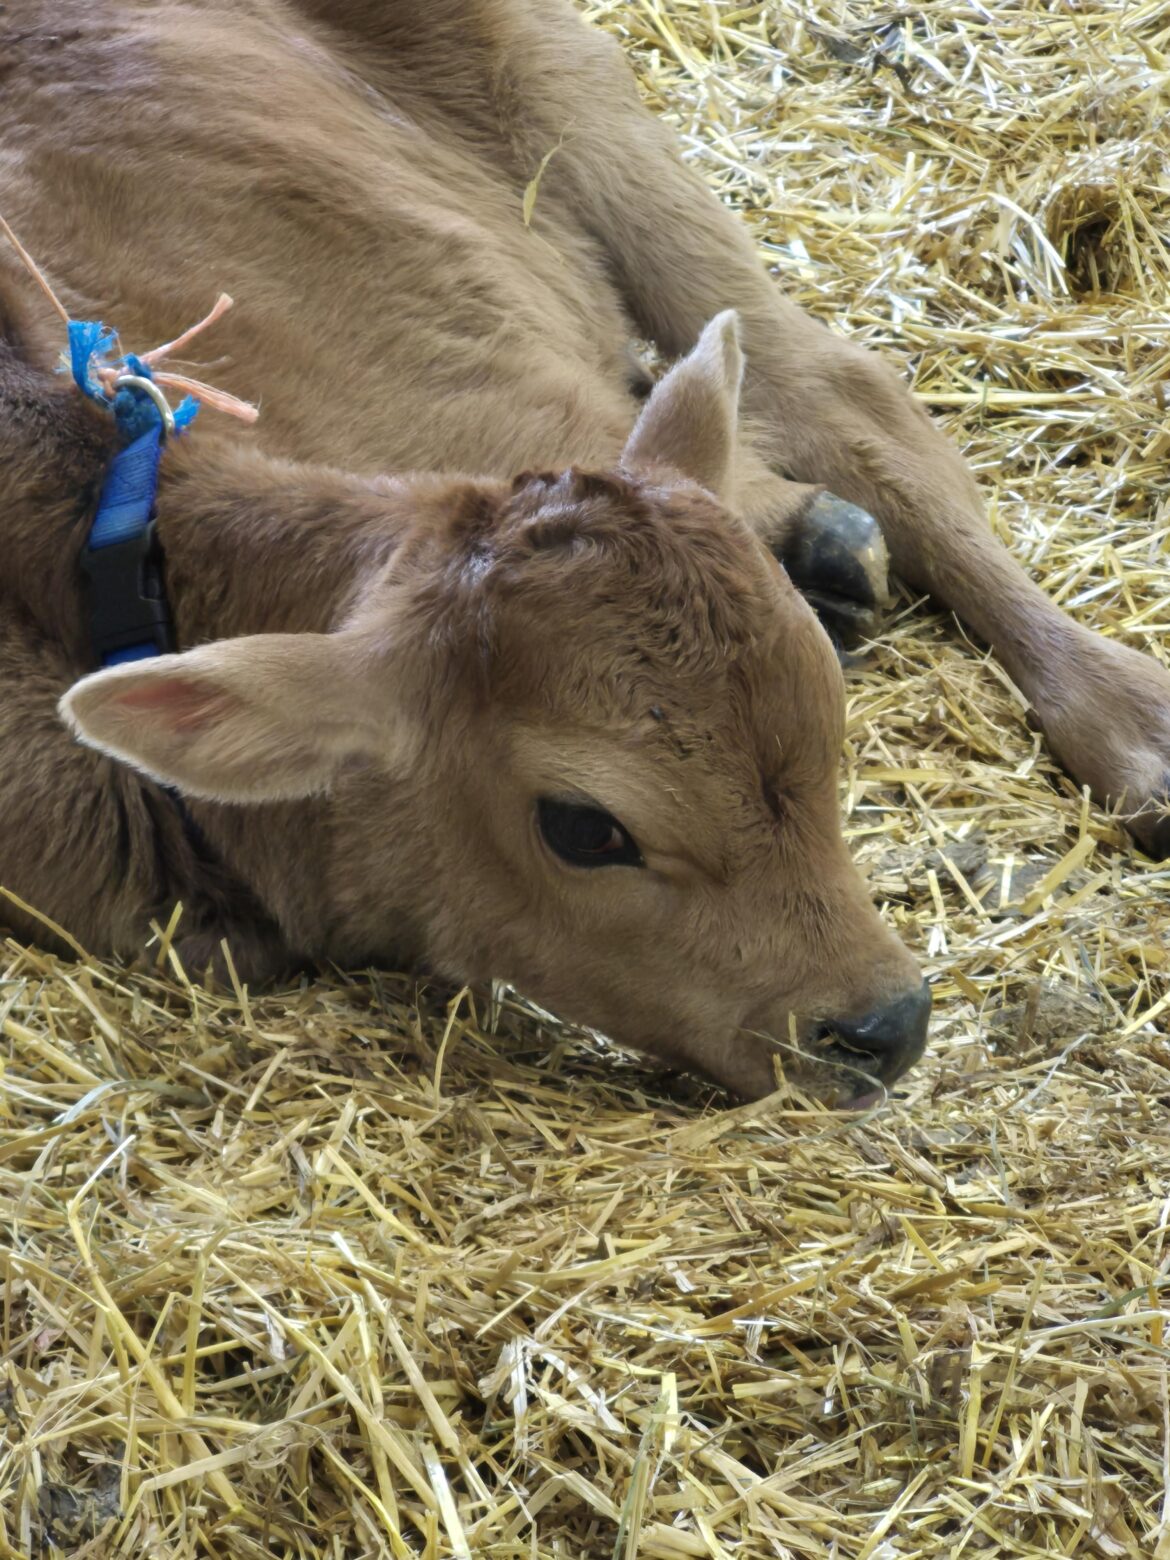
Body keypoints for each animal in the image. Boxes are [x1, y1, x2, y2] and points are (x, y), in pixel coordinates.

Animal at [1, 0, 1166, 1103]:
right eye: (584, 830)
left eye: (831, 720)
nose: (887, 1025)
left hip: (576, 105)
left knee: (841, 396)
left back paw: (1133, 725)